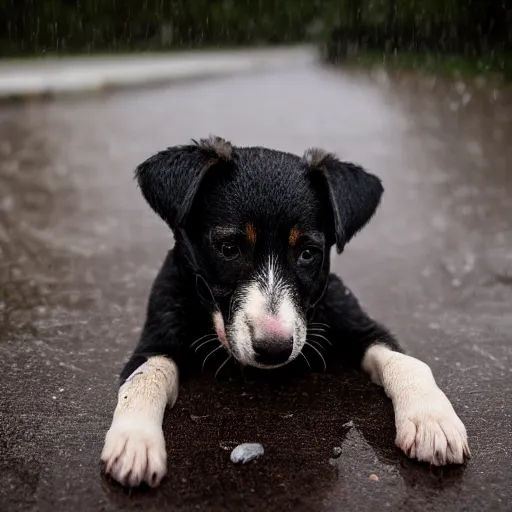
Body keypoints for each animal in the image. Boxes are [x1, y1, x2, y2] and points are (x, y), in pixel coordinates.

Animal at [102, 136, 470, 488]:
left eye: (308, 253)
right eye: (229, 249)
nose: (273, 349)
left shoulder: (355, 320)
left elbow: (407, 362)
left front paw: (430, 418)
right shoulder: (157, 333)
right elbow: (143, 378)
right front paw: (135, 441)